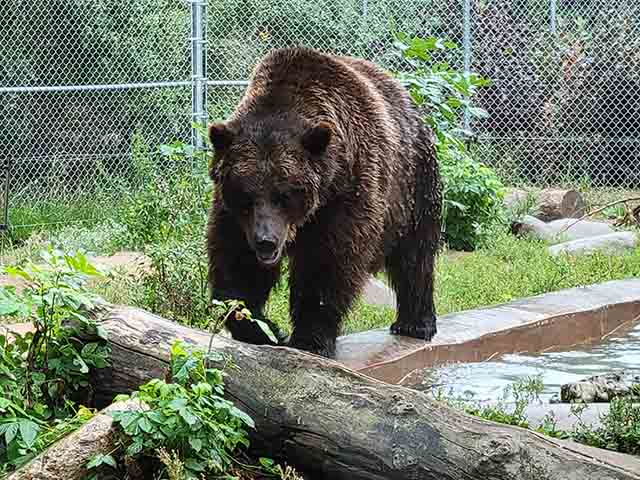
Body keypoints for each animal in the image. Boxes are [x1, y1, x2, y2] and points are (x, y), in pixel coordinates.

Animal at [208, 47, 442, 358]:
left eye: (284, 194)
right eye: (246, 195)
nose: (266, 242)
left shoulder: (346, 195)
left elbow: (327, 265)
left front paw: (310, 339)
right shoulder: (233, 215)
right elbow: (236, 264)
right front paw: (263, 330)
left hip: (414, 185)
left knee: (415, 257)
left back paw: (415, 324)